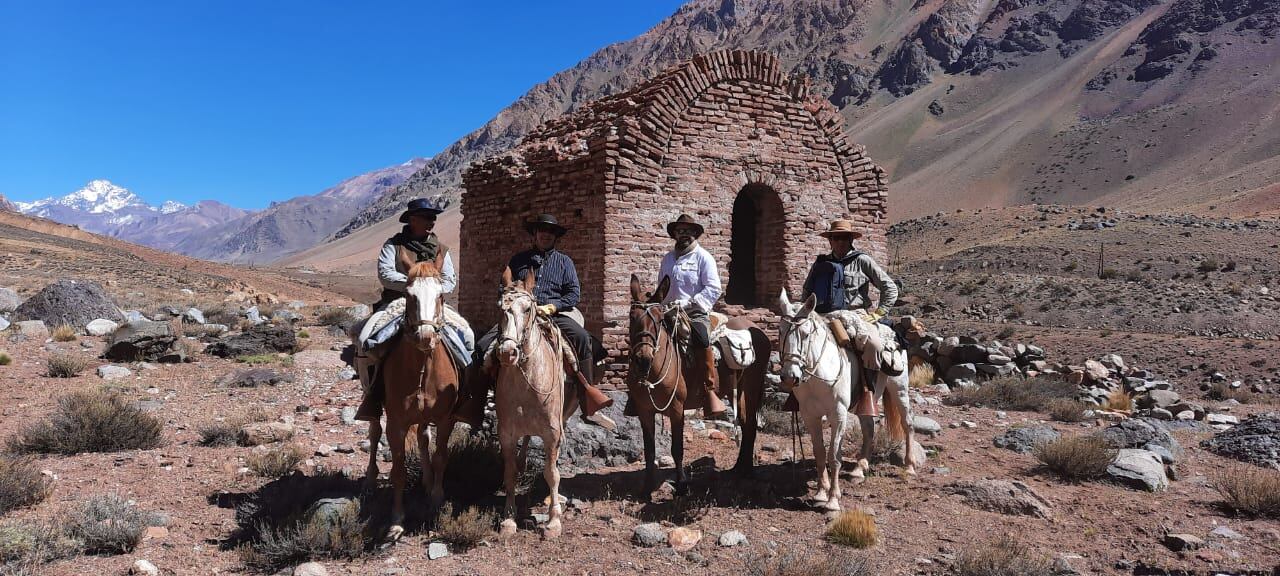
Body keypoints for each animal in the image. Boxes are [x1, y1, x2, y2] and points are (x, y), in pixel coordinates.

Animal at [494, 267, 581, 537]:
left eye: (528, 309)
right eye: (500, 308)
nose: (507, 353)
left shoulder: (552, 432)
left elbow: (551, 473)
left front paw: (553, 521)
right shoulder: (506, 432)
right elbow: (510, 472)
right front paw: (509, 518)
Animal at [627, 273, 768, 494]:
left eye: (659, 319)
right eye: (632, 317)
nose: (643, 358)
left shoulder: (677, 409)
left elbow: (677, 448)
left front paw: (682, 485)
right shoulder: (644, 411)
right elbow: (649, 450)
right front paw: (647, 487)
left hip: (753, 386)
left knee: (751, 424)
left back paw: (747, 471)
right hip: (739, 390)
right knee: (746, 423)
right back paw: (739, 468)